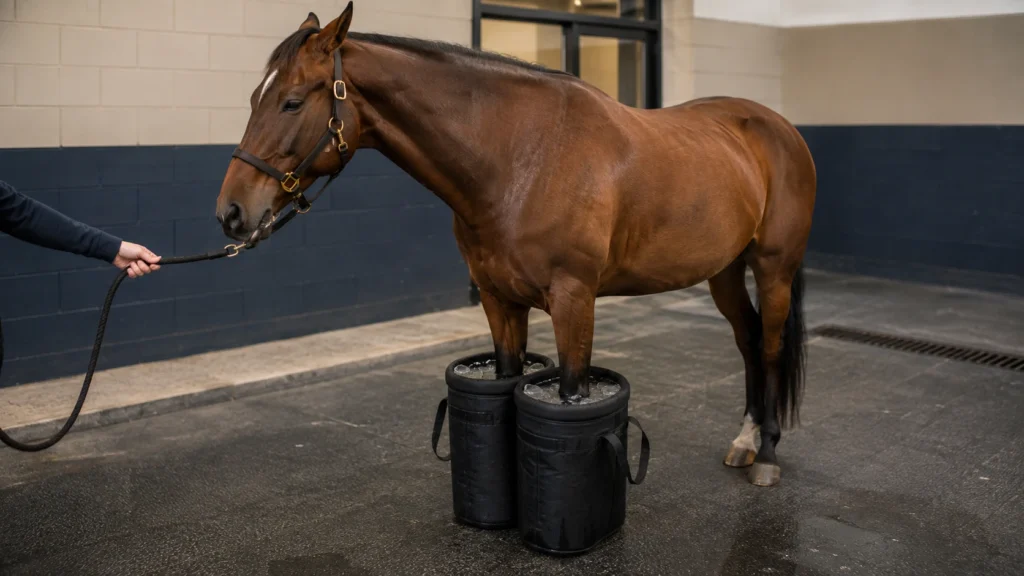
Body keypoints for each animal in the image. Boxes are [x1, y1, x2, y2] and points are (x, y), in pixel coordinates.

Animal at [216, 3, 816, 487]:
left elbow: (572, 390)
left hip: (772, 268)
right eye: (254, 97)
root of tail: (779, 127)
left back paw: (765, 455)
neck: (520, 158)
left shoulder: (575, 301)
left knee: (767, 345)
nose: (232, 213)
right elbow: (506, 379)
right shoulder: (498, 299)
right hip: (724, 270)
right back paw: (744, 441)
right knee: (746, 342)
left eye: (292, 103)